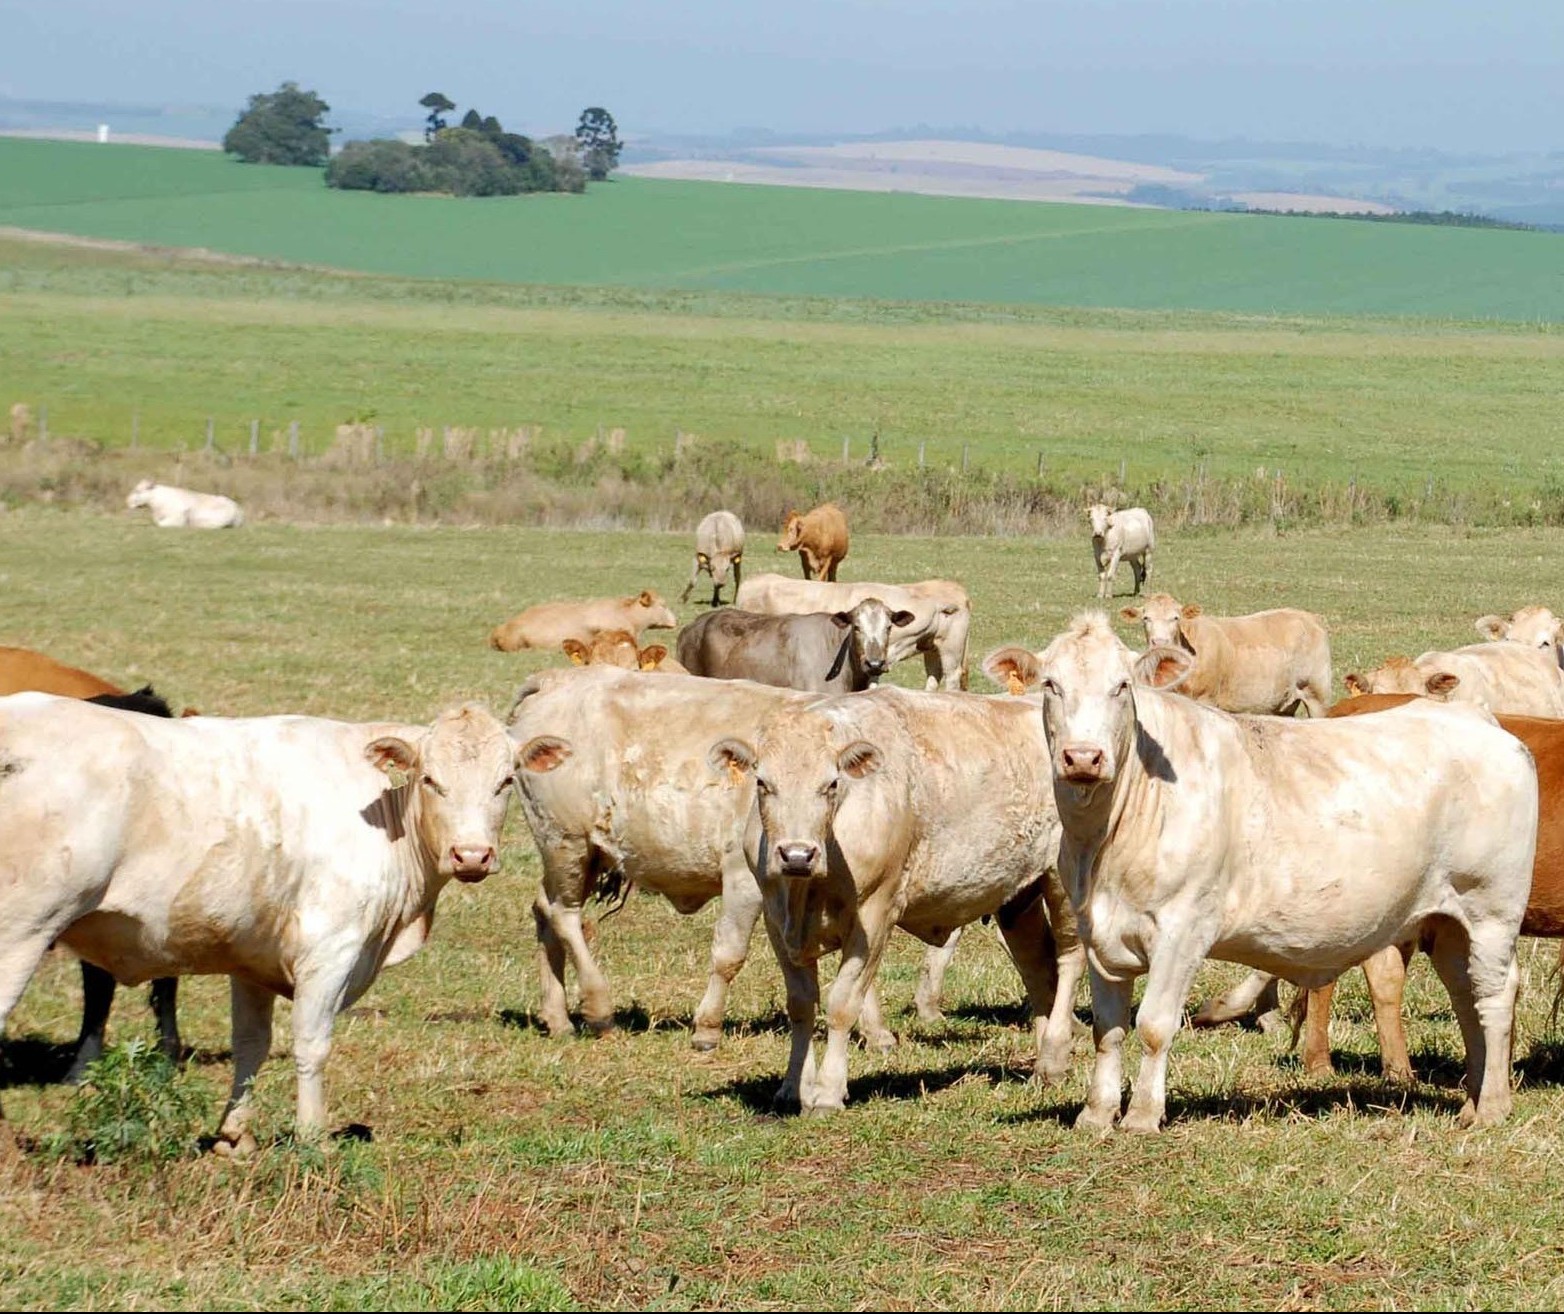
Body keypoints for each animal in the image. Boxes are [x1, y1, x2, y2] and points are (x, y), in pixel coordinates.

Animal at [0, 691, 522, 1157]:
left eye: (506, 782)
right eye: (431, 779)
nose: (472, 854)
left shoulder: (252, 957)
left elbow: (251, 1043)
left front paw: (235, 1138)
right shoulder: (331, 950)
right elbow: (312, 1045)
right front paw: (313, 1139)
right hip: (22, 934)